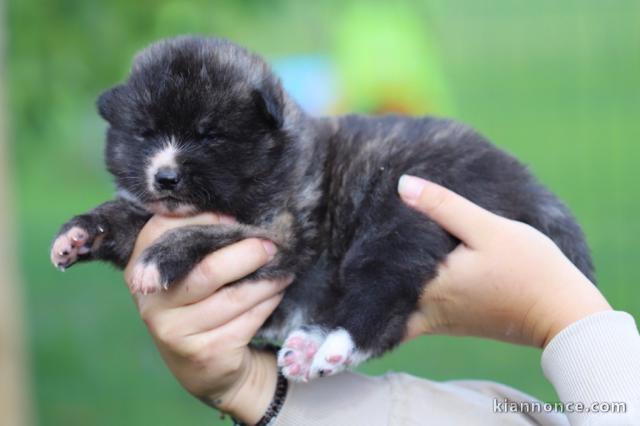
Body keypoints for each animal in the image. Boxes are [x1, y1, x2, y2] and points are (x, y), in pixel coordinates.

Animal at [51, 37, 596, 382]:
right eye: (144, 134)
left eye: (208, 135)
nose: (165, 177)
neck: (277, 156)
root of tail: (525, 182)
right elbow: (128, 215)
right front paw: (80, 234)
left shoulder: (279, 235)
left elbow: (202, 234)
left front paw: (158, 258)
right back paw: (311, 345)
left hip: (399, 220)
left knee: (384, 292)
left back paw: (336, 344)